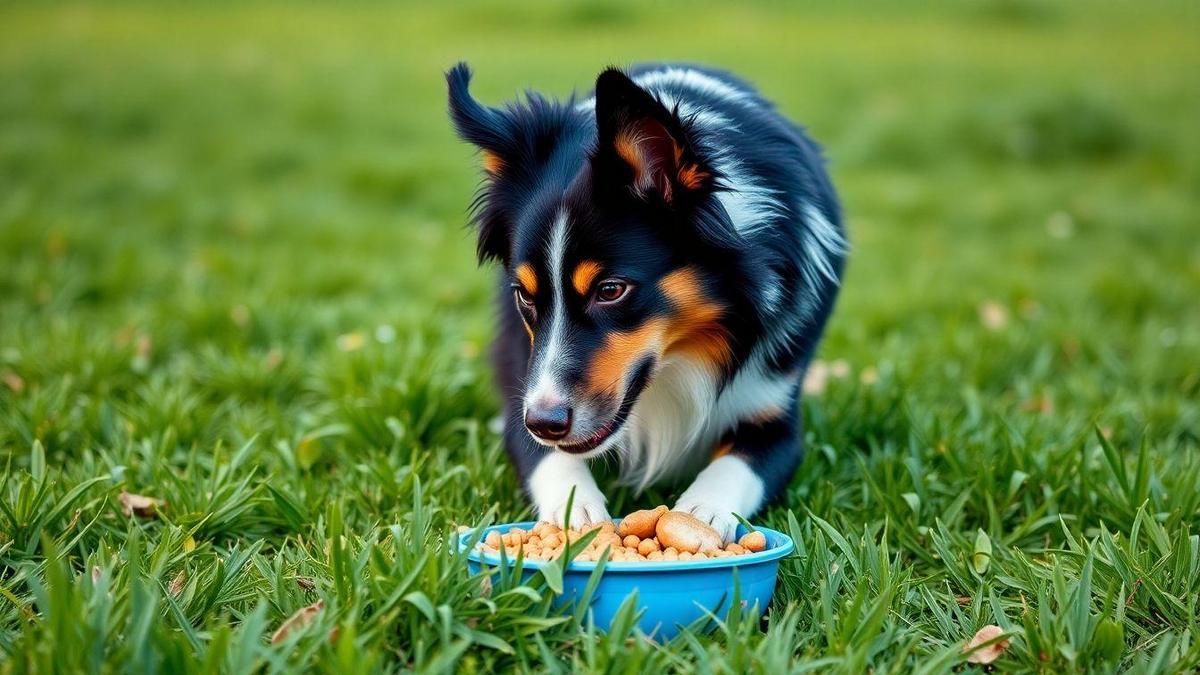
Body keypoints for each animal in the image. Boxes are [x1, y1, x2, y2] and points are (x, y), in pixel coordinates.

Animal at [446, 61, 849, 535]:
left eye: (610, 290)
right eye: (525, 296)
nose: (545, 423)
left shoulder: (773, 408)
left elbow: (736, 467)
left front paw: (700, 513)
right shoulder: (523, 384)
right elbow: (545, 458)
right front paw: (576, 510)